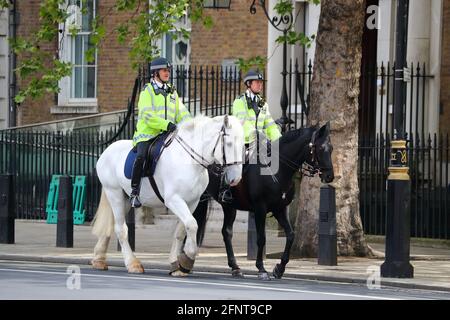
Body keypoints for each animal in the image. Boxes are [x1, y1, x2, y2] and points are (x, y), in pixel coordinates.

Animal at [90, 114, 243, 276]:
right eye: (229, 143)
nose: (236, 179)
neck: (188, 160)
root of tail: (106, 152)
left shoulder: (192, 202)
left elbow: (181, 230)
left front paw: (177, 265)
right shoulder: (173, 200)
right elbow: (192, 224)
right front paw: (187, 259)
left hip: (124, 199)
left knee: (111, 225)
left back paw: (99, 259)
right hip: (115, 194)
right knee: (121, 229)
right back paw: (132, 264)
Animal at [193, 121, 334, 278]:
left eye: (331, 148)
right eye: (320, 148)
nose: (329, 176)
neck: (277, 169)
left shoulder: (280, 209)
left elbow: (291, 235)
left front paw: (279, 268)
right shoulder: (260, 208)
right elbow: (261, 238)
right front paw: (261, 268)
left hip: (229, 206)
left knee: (226, 232)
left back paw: (235, 267)